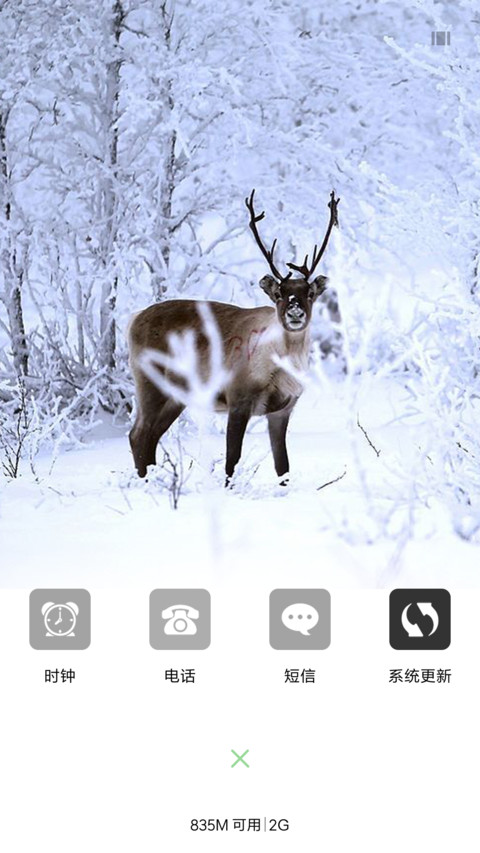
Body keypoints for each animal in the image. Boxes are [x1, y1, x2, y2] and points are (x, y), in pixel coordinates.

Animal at [128, 189, 340, 485]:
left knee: (149, 437)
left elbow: (283, 466)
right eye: (279, 293)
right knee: (138, 434)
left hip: (175, 396)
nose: (295, 312)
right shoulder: (238, 399)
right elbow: (232, 460)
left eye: (309, 293)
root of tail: (132, 319)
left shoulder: (283, 409)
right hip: (150, 383)